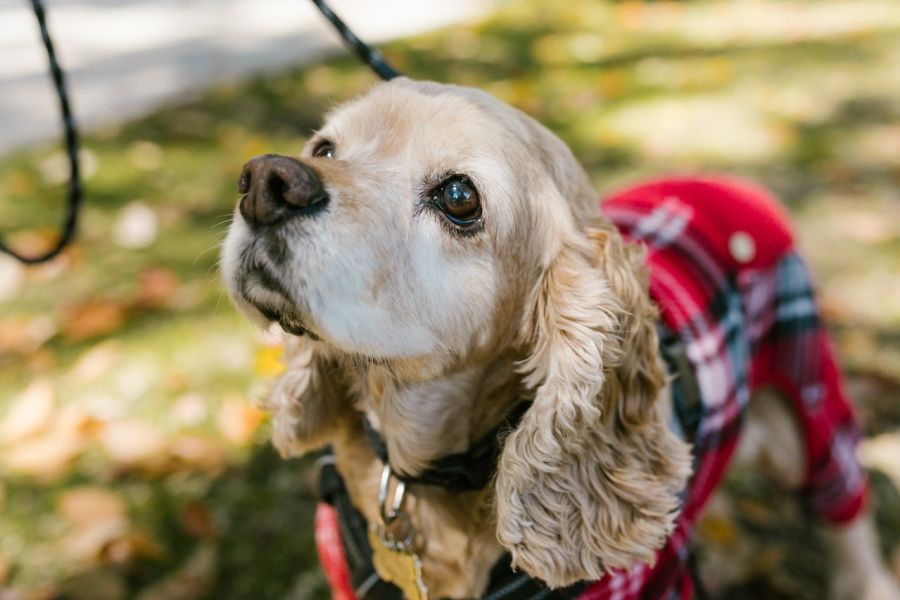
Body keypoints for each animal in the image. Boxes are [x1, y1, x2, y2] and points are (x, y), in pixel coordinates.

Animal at [220, 79, 900, 600]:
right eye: (324, 146)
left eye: (459, 197)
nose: (264, 182)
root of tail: (731, 183)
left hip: (805, 407)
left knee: (846, 505)